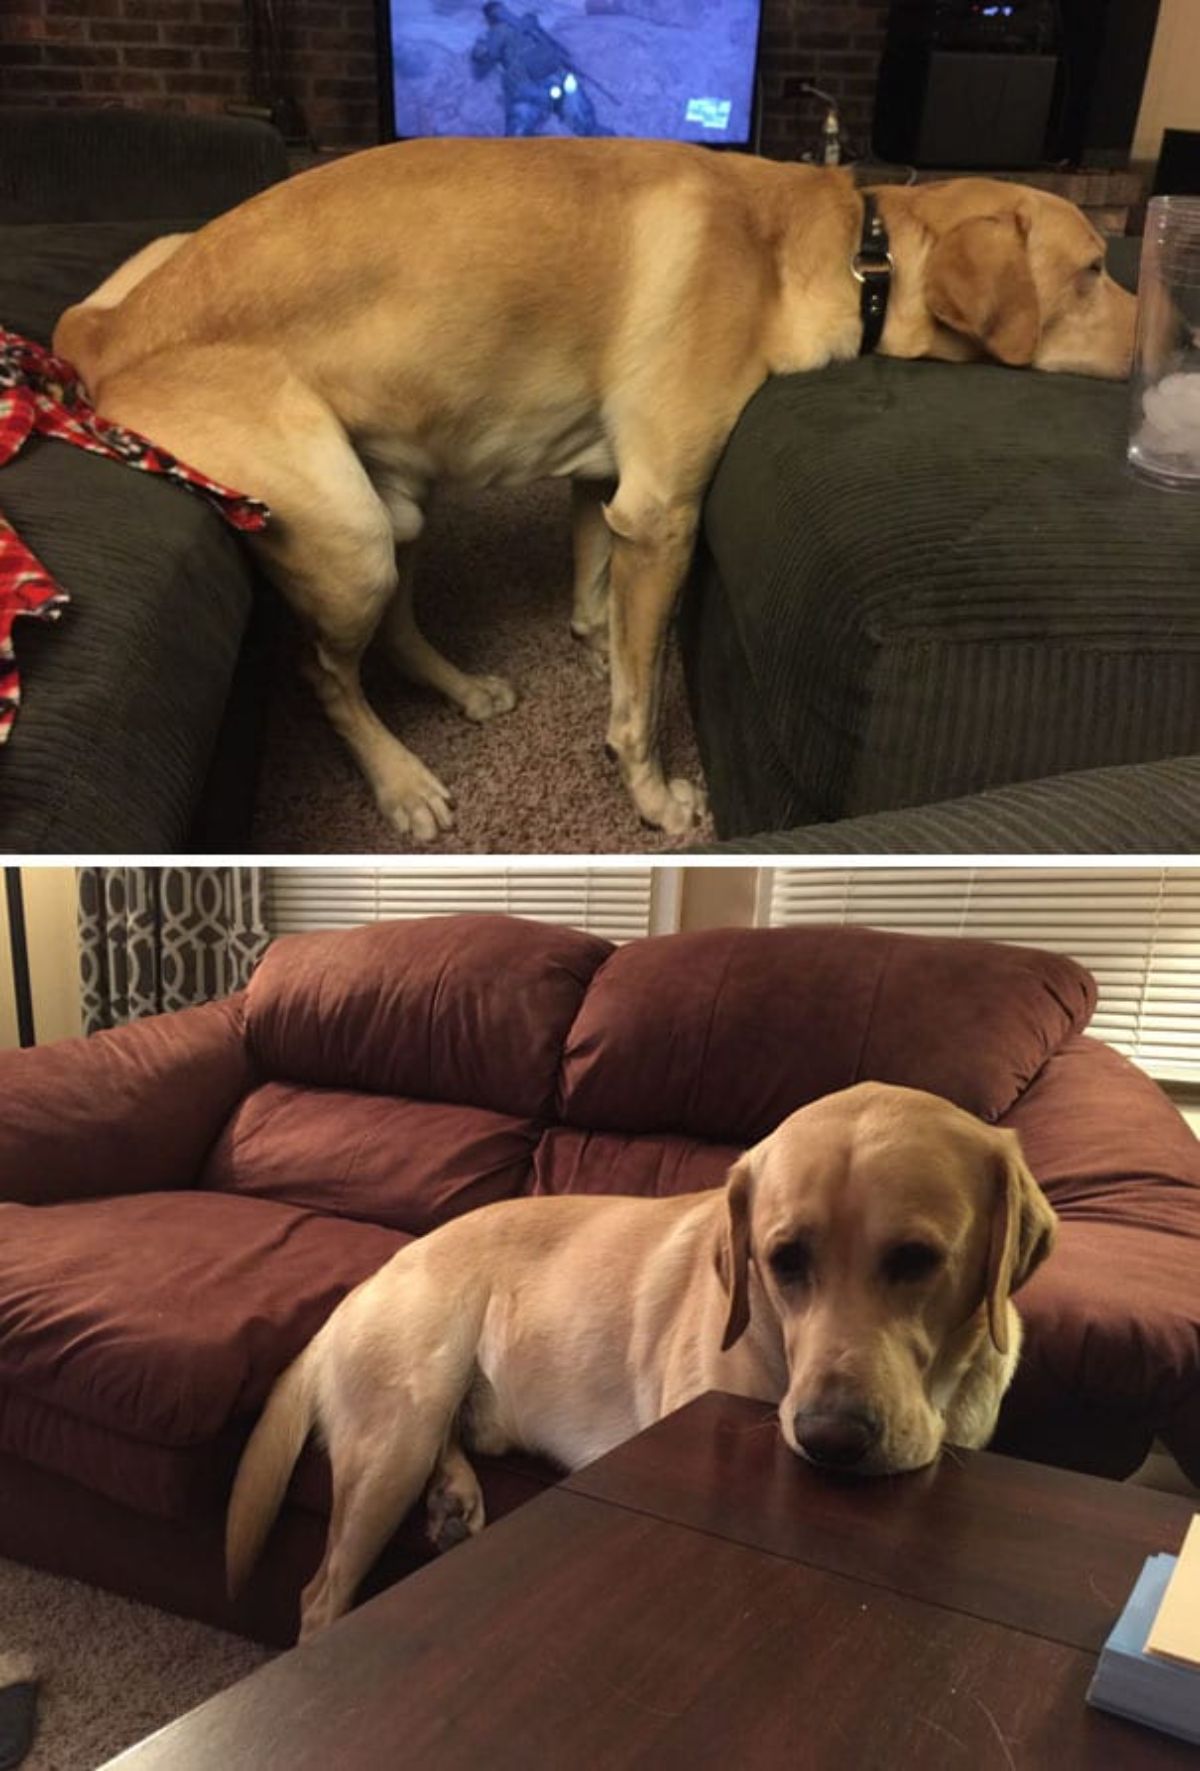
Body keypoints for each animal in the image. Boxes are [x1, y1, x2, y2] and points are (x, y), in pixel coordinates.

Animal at [53, 138, 1139, 842]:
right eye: (1094, 268)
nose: (1160, 344)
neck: (847, 249)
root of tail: (106, 333)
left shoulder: (605, 488)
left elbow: (603, 618)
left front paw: (595, 645)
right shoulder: (660, 514)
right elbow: (641, 702)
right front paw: (654, 798)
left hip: (395, 499)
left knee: (394, 631)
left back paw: (460, 687)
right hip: (347, 531)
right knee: (324, 671)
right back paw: (399, 780)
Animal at [228, 1083, 1061, 1636]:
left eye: (917, 1259)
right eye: (784, 1259)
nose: (831, 1437)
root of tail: (359, 1287)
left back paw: (456, 1496)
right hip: (397, 1427)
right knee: (319, 1595)